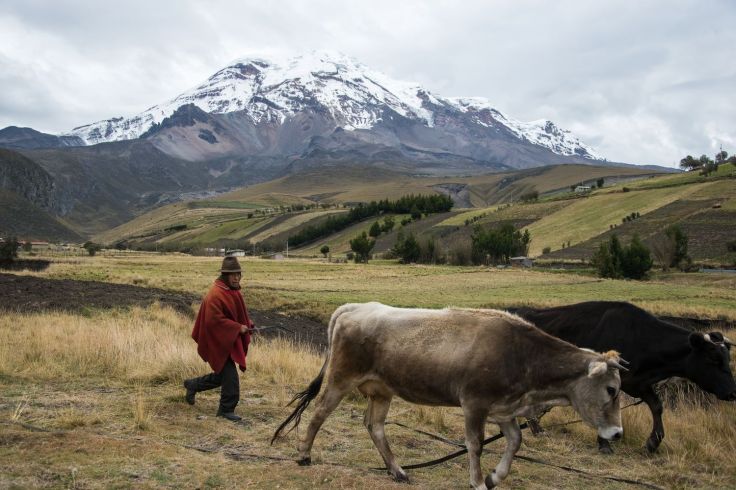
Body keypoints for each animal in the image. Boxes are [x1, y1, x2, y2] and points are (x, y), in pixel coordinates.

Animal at [272, 302, 625, 489]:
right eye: (611, 389)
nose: (618, 433)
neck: (522, 355)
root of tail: (356, 307)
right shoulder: (475, 403)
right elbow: (475, 444)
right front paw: (479, 481)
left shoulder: (503, 408)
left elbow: (515, 441)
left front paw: (496, 476)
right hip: (341, 378)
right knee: (319, 412)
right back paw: (303, 454)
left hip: (381, 391)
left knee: (375, 427)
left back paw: (397, 470)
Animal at [511, 301, 736, 454]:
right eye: (713, 359)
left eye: (727, 358)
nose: (732, 392)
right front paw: (604, 444)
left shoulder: (639, 383)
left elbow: (657, 406)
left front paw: (653, 443)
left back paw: (536, 429)